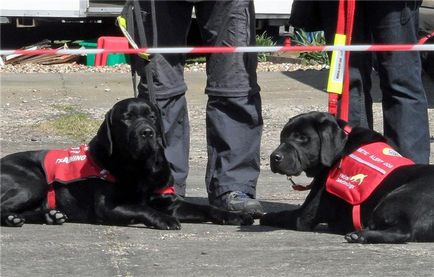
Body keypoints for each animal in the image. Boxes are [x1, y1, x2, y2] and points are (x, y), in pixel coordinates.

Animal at [0, 98, 254, 227]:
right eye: (127, 118)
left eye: (152, 115)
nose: (147, 132)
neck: (141, 168)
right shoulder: (109, 206)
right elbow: (141, 207)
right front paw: (163, 219)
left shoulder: (170, 201)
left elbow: (205, 208)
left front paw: (235, 216)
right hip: (32, 183)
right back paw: (15, 218)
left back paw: (50, 216)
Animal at [262, 111, 434, 243]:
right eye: (282, 137)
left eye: (302, 138)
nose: (274, 157)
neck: (340, 151)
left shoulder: (303, 216)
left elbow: (279, 215)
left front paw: (266, 216)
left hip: (396, 197)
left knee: (403, 232)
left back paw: (360, 235)